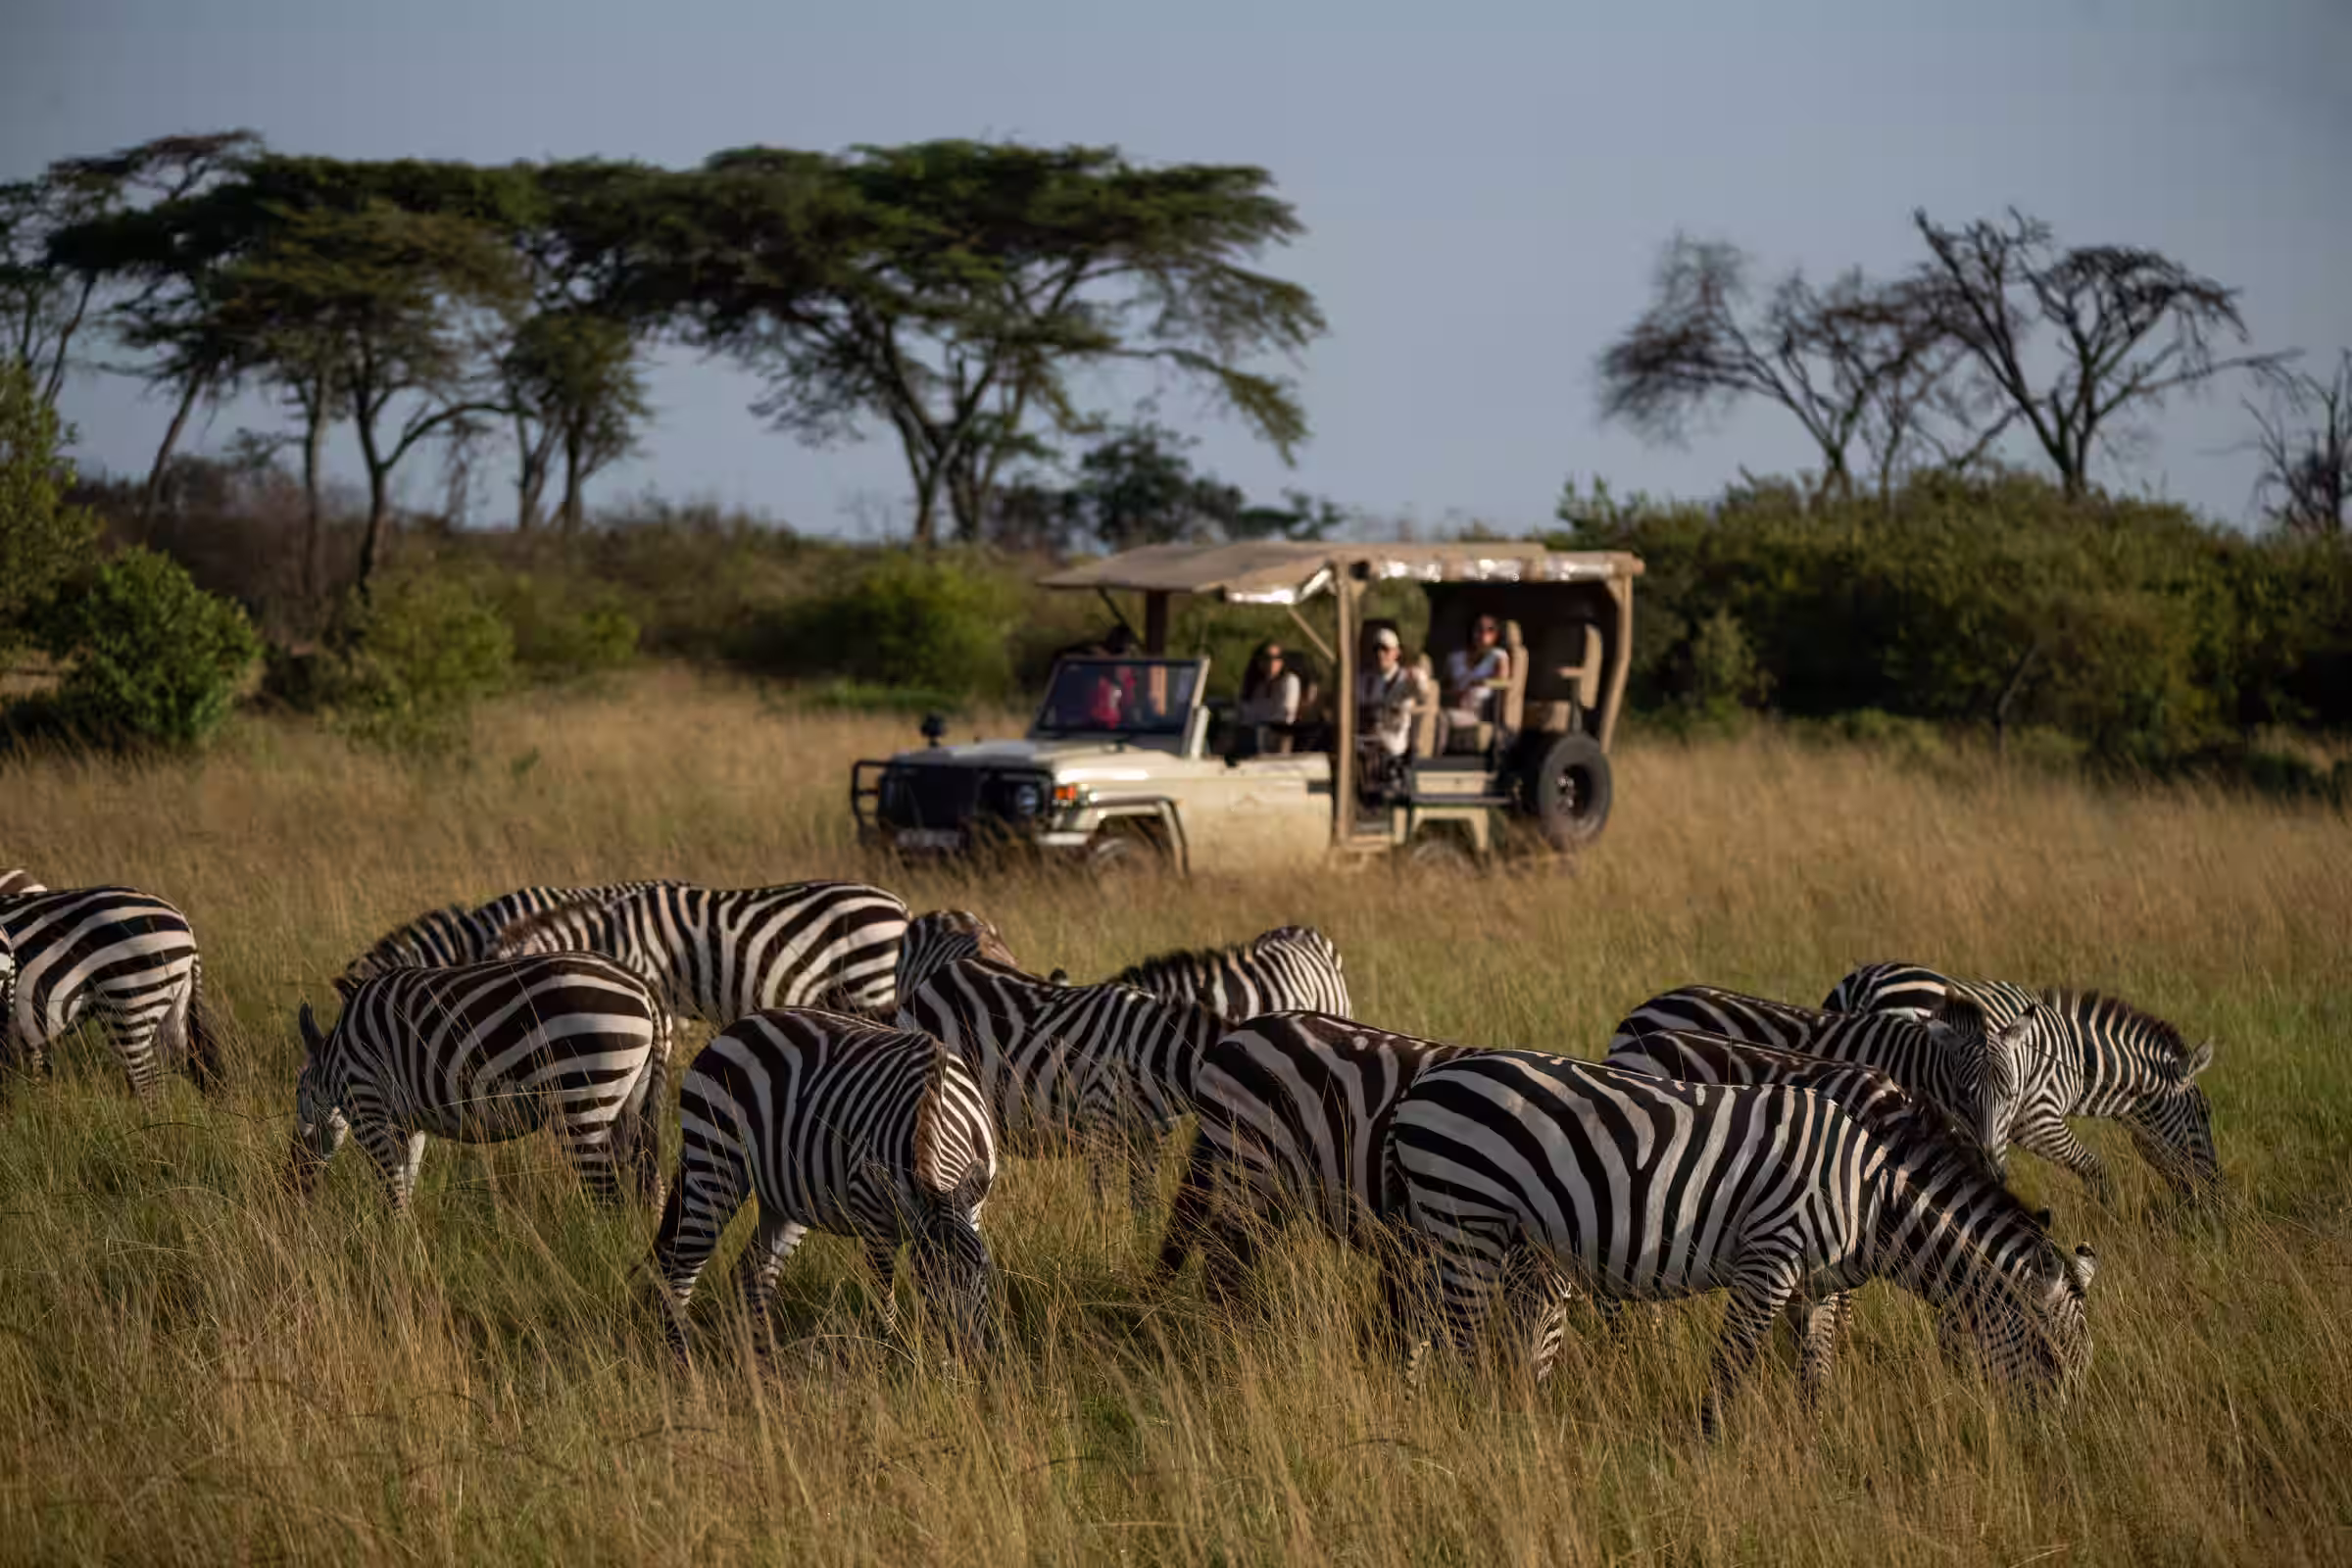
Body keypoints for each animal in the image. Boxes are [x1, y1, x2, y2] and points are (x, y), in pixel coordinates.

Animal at [289, 954, 672, 1213]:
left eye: (297, 1099)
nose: (292, 1185)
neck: (335, 1062)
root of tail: (644, 989)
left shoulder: (369, 1107)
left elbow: (393, 1193)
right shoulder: (408, 1123)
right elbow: (406, 1185)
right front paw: (407, 1247)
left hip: (582, 1098)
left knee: (607, 1195)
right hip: (632, 1102)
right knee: (651, 1189)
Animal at [653, 1008, 996, 1359]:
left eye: (983, 1266)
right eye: (923, 1279)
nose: (968, 1351)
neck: (931, 1105)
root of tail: (736, 1026)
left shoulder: (972, 1209)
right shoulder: (876, 1224)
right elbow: (883, 1301)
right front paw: (889, 1357)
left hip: (782, 1193)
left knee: (753, 1271)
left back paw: (764, 1359)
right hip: (715, 1158)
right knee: (681, 1266)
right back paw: (681, 1358)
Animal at [896, 954, 1223, 1210]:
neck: (1154, 1048)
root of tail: (930, 980)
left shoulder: (1152, 1138)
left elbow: (1144, 1205)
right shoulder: (1100, 1122)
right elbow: (1102, 1203)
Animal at [1825, 962, 2220, 1199]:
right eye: (2205, 1112)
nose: (2216, 1194)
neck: (2077, 1058)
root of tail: (1863, 986)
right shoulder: (2037, 1120)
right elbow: (2097, 1172)